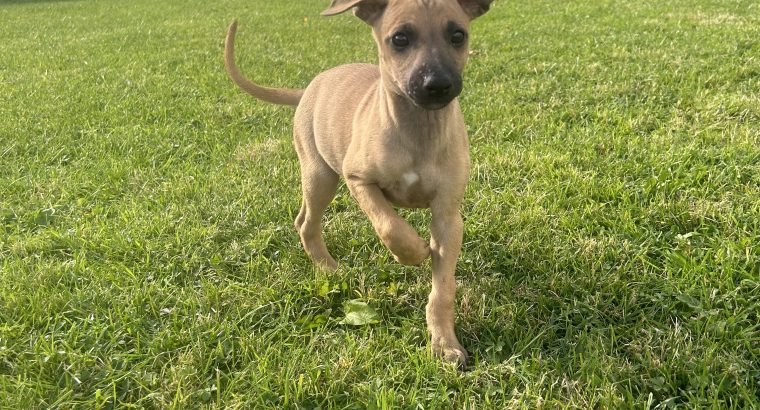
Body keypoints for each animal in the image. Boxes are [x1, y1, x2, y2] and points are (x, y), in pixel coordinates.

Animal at [224, 0, 492, 366]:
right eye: (399, 38)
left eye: (458, 35)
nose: (437, 85)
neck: (417, 129)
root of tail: (310, 86)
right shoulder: (358, 179)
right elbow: (390, 225)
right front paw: (414, 252)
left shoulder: (448, 216)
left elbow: (443, 289)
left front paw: (444, 343)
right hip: (321, 175)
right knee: (308, 223)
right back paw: (329, 269)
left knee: (301, 219)